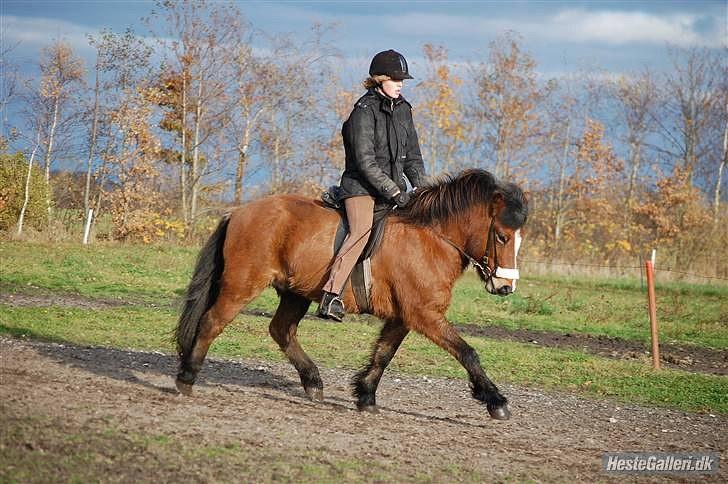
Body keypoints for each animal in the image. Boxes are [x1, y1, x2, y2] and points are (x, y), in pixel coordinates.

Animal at [176, 168, 528, 418]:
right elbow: (468, 352)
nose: (505, 287)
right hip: (242, 285)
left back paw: (313, 382)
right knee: (211, 323)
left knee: (281, 330)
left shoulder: (404, 317)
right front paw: (496, 401)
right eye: (501, 237)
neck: (431, 238)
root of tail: (238, 212)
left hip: (295, 292)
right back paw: (187, 378)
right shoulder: (425, 315)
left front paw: (366, 395)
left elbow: (383, 354)